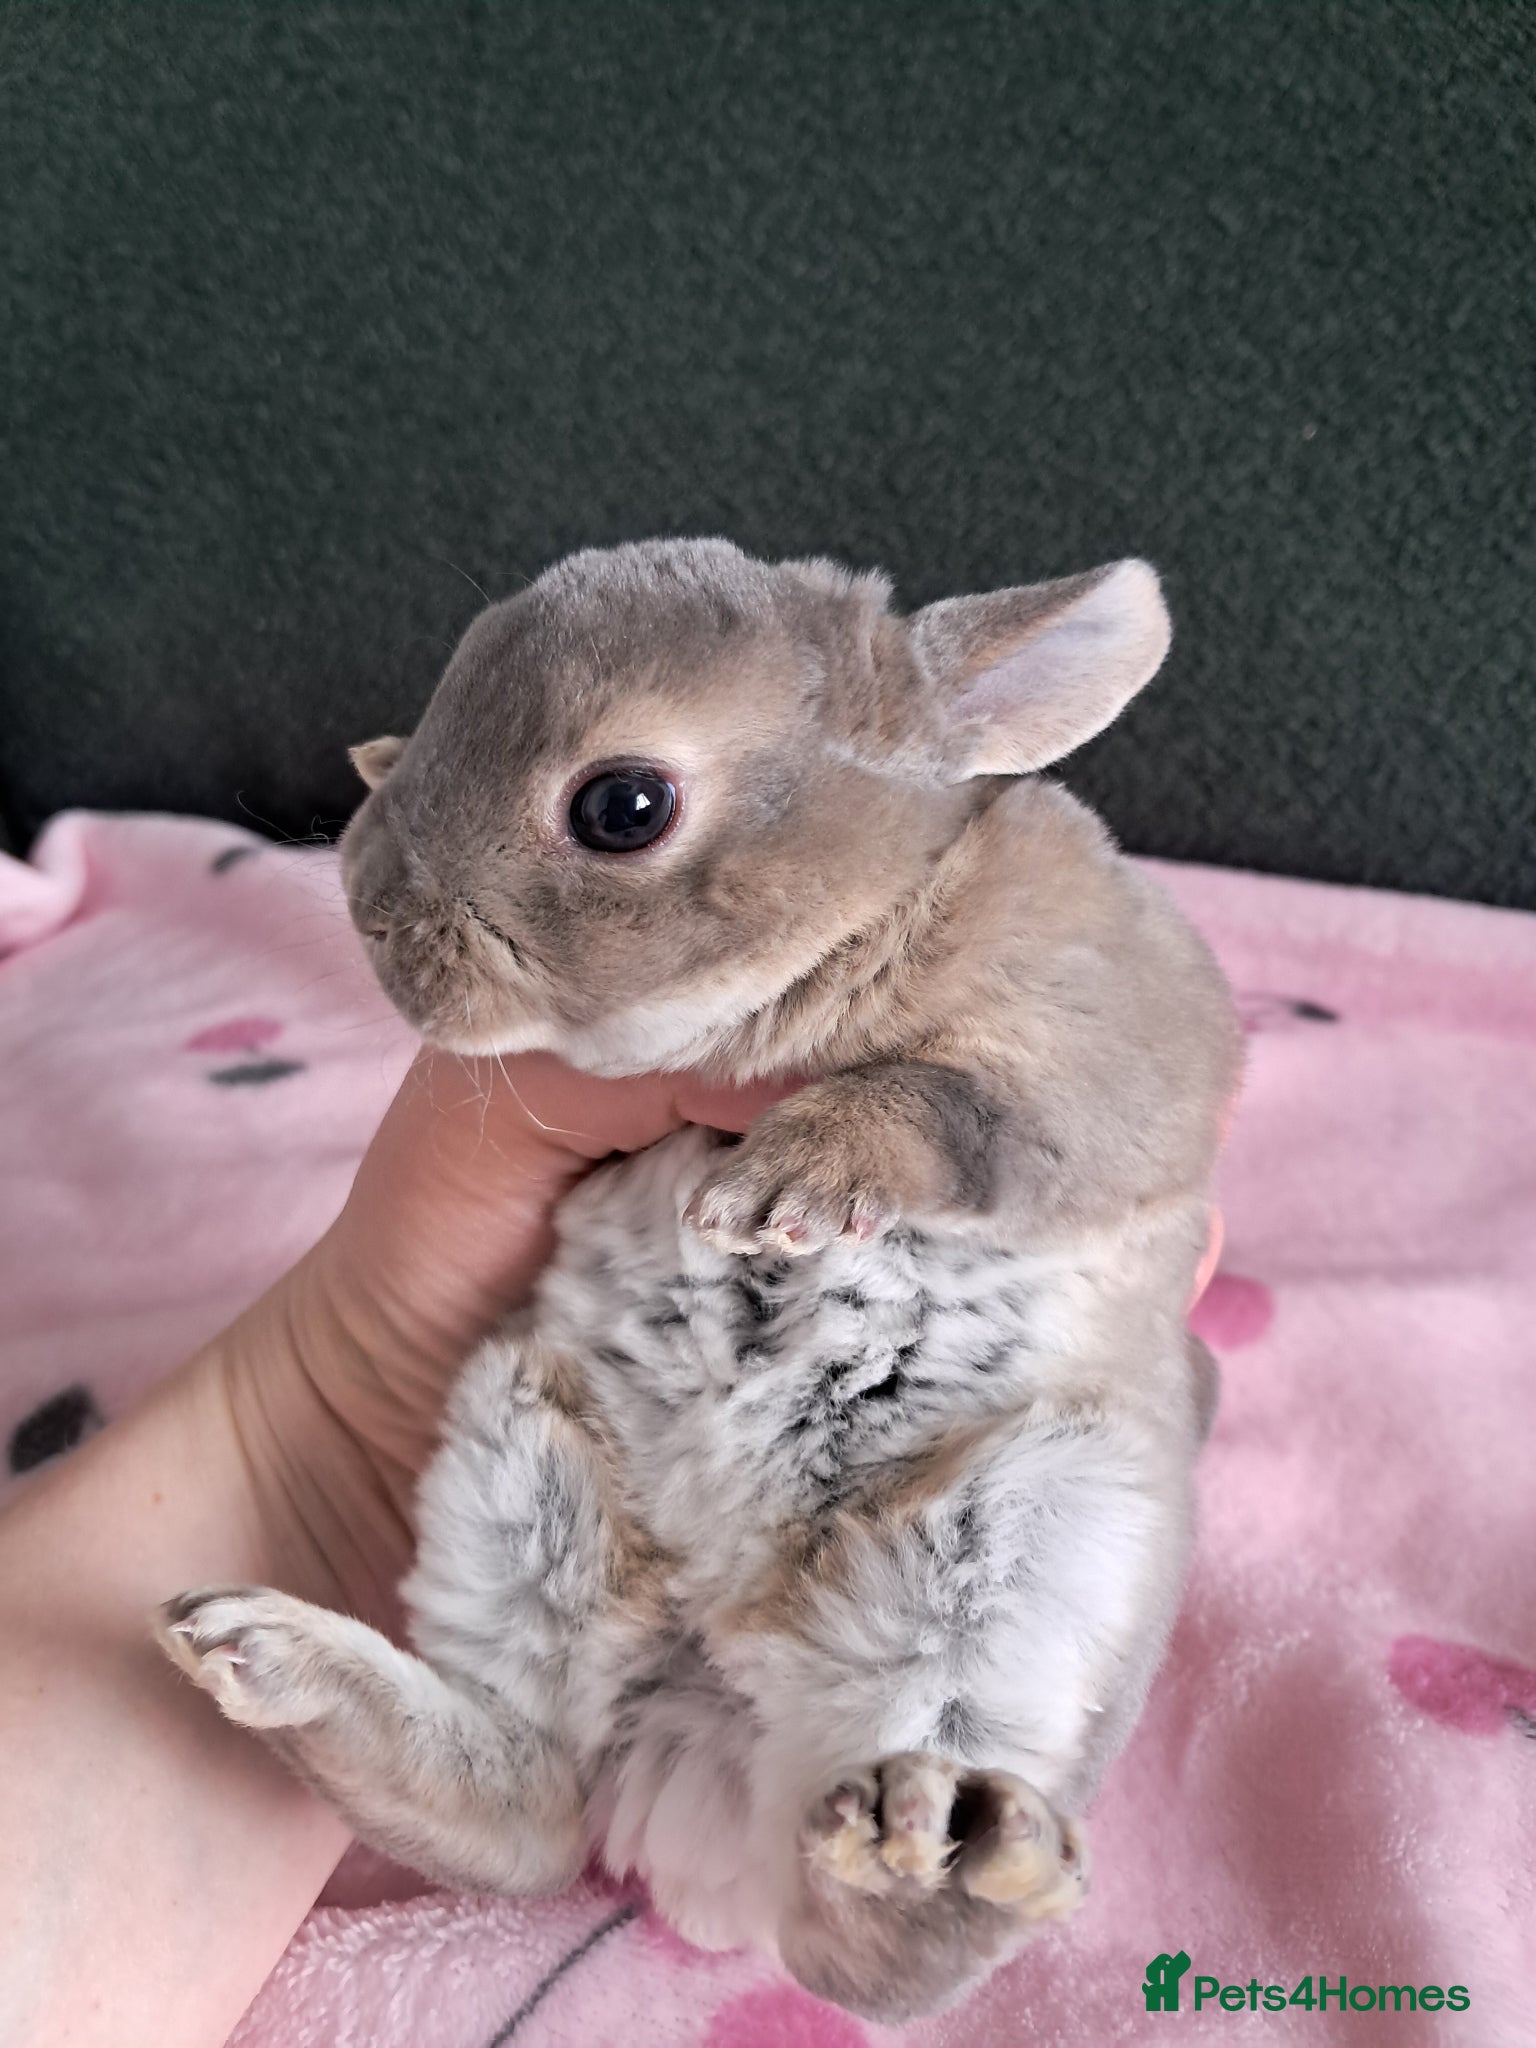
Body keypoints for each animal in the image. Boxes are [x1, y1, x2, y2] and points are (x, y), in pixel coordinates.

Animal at [158, 537, 1240, 2022]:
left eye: (622, 806)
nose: (376, 919)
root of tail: (703, 1725)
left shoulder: (1097, 1059)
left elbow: (944, 1103)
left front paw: (782, 1186)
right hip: (524, 1463)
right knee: (530, 1808)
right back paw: (269, 1654)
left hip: (1043, 1542)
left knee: (871, 1956)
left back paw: (946, 1849)